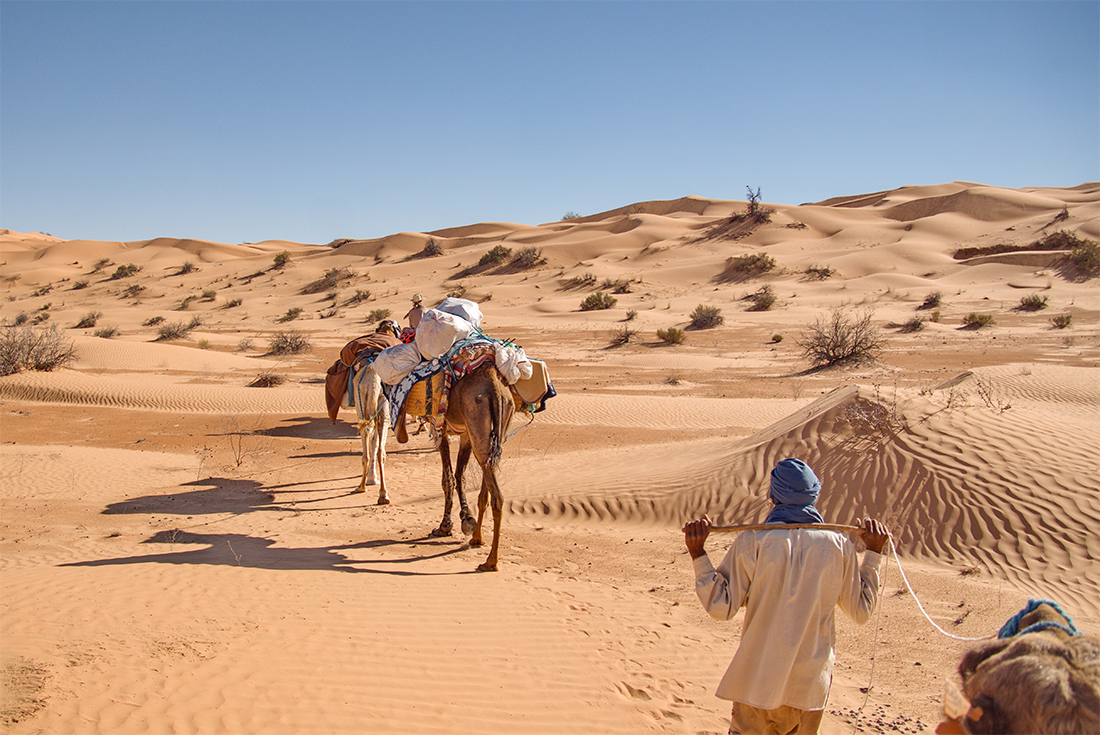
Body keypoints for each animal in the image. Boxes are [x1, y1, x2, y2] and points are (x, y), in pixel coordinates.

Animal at [430, 363, 515, 572]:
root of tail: (493, 383)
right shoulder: (465, 433)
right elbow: (460, 475)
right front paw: (466, 519)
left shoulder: (442, 428)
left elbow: (448, 479)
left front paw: (445, 526)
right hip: (497, 429)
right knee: (488, 479)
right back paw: (477, 539)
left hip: (477, 418)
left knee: (498, 496)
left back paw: (491, 561)